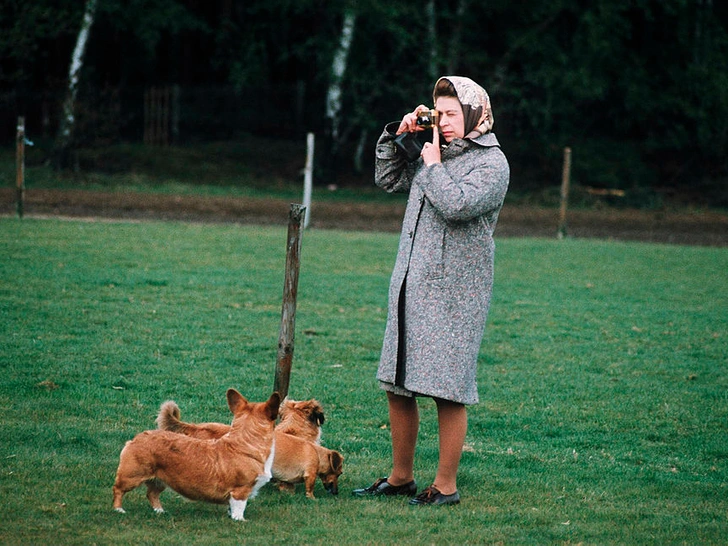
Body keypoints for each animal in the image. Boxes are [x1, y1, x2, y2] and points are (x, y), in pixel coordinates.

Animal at [112, 386, 280, 520]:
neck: (245, 443)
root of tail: (136, 438)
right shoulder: (240, 491)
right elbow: (239, 508)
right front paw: (240, 520)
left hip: (160, 479)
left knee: (151, 494)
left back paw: (160, 511)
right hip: (132, 476)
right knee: (118, 489)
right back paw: (119, 510)